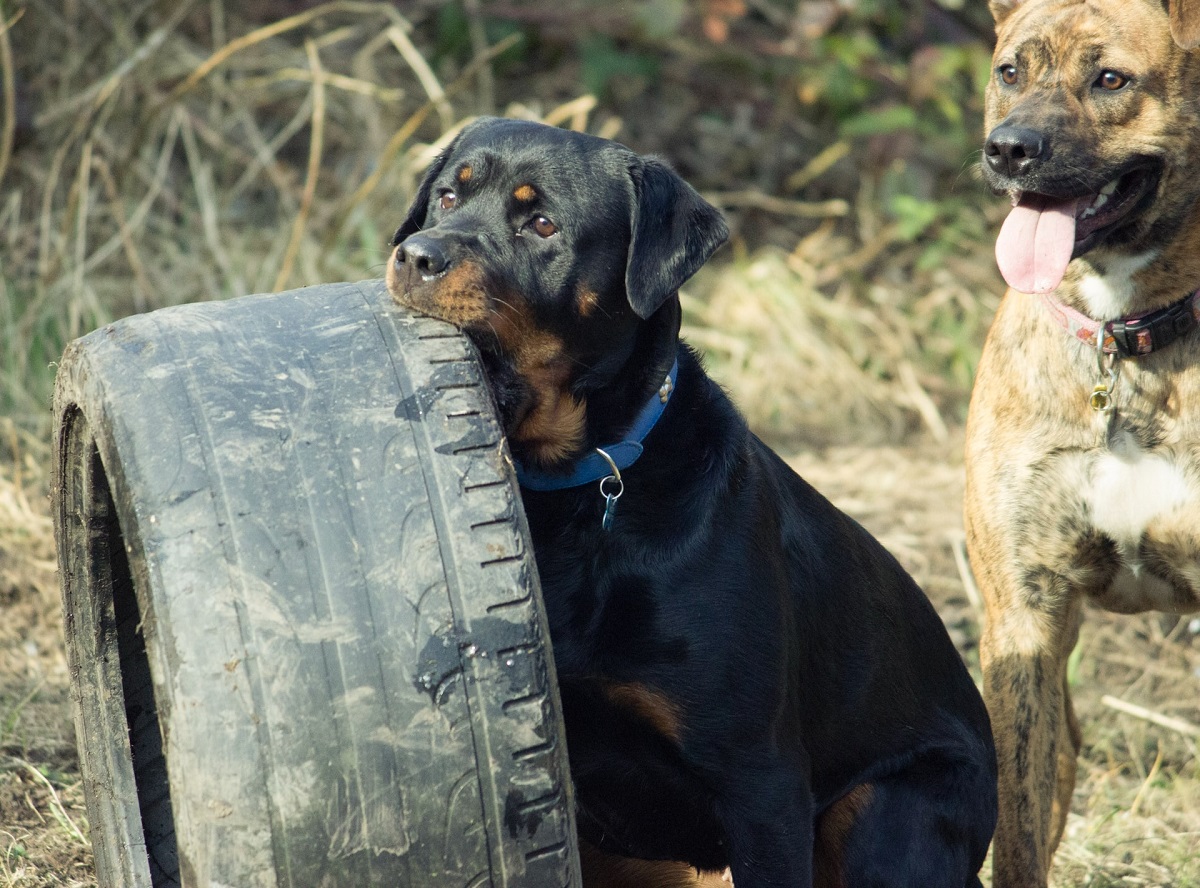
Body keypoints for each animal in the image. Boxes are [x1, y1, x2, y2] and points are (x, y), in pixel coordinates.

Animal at [388, 119, 998, 888]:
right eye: (447, 196)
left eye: (542, 225)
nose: (417, 256)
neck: (579, 494)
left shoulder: (761, 781)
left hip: (886, 810)